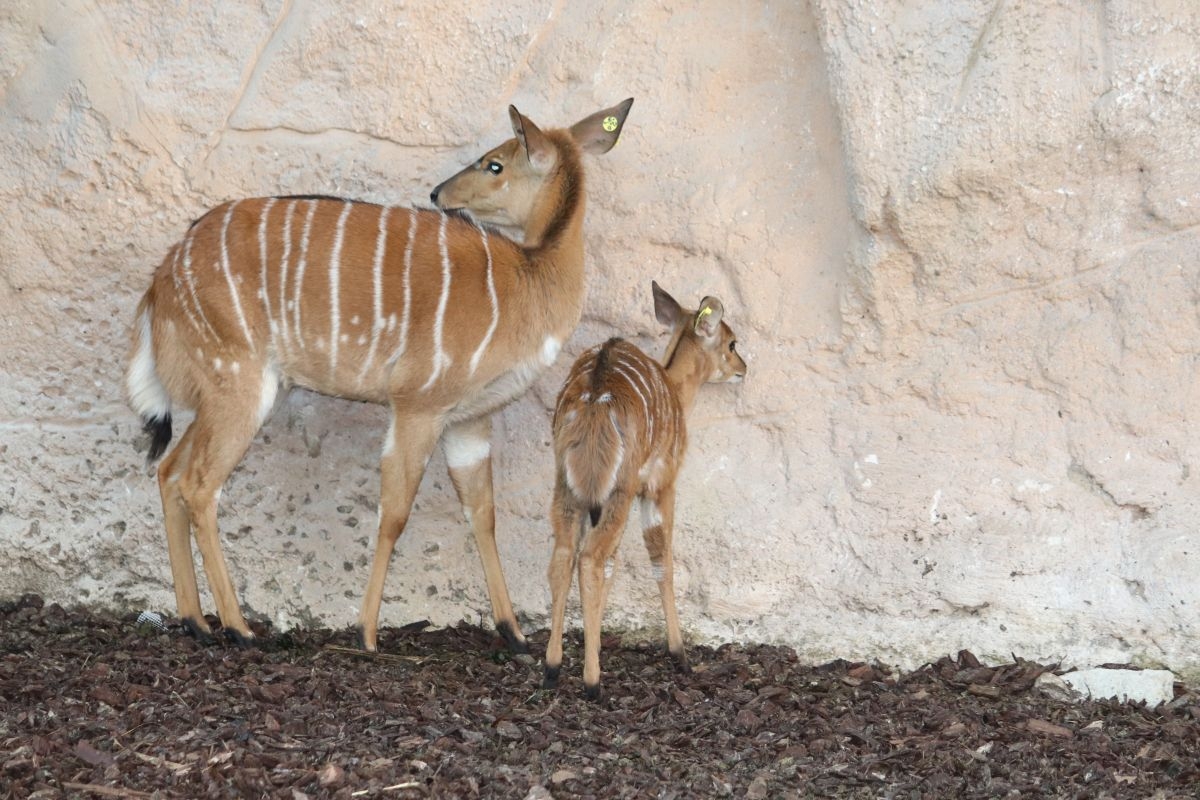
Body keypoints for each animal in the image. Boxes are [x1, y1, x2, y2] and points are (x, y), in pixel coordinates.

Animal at [126, 97, 638, 652]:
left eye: (495, 164)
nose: (437, 193)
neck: (529, 283)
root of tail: (162, 280)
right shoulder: (418, 403)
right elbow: (393, 515)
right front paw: (367, 634)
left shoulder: (469, 419)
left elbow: (483, 514)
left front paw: (515, 634)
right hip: (239, 383)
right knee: (199, 484)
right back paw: (239, 628)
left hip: (223, 391)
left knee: (169, 471)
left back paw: (194, 620)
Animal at [547, 283, 748, 700]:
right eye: (732, 343)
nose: (743, 369)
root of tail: (595, 396)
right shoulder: (660, 484)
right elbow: (662, 560)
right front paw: (680, 654)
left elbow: (613, 566)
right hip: (620, 490)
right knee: (589, 559)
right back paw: (592, 683)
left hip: (567, 485)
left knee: (566, 555)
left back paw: (552, 667)